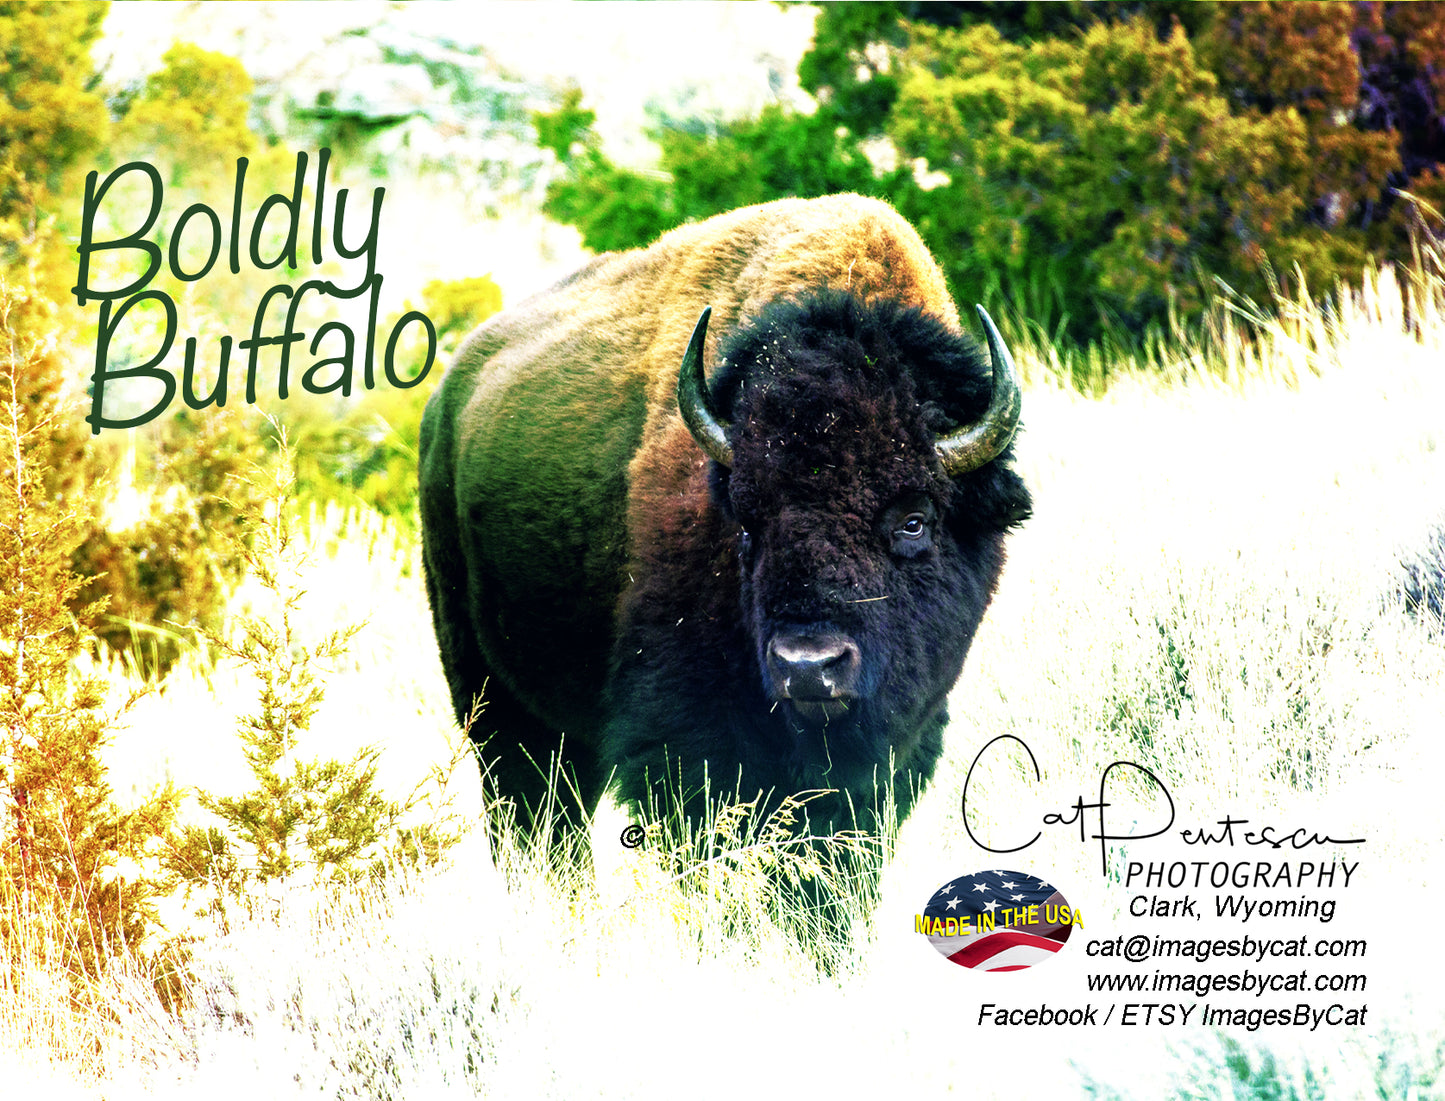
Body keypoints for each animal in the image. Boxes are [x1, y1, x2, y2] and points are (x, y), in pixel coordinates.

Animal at [418, 194, 1032, 845]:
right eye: (746, 522)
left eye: (914, 520)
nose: (809, 668)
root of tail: (445, 403)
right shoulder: (687, 732)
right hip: (489, 697)